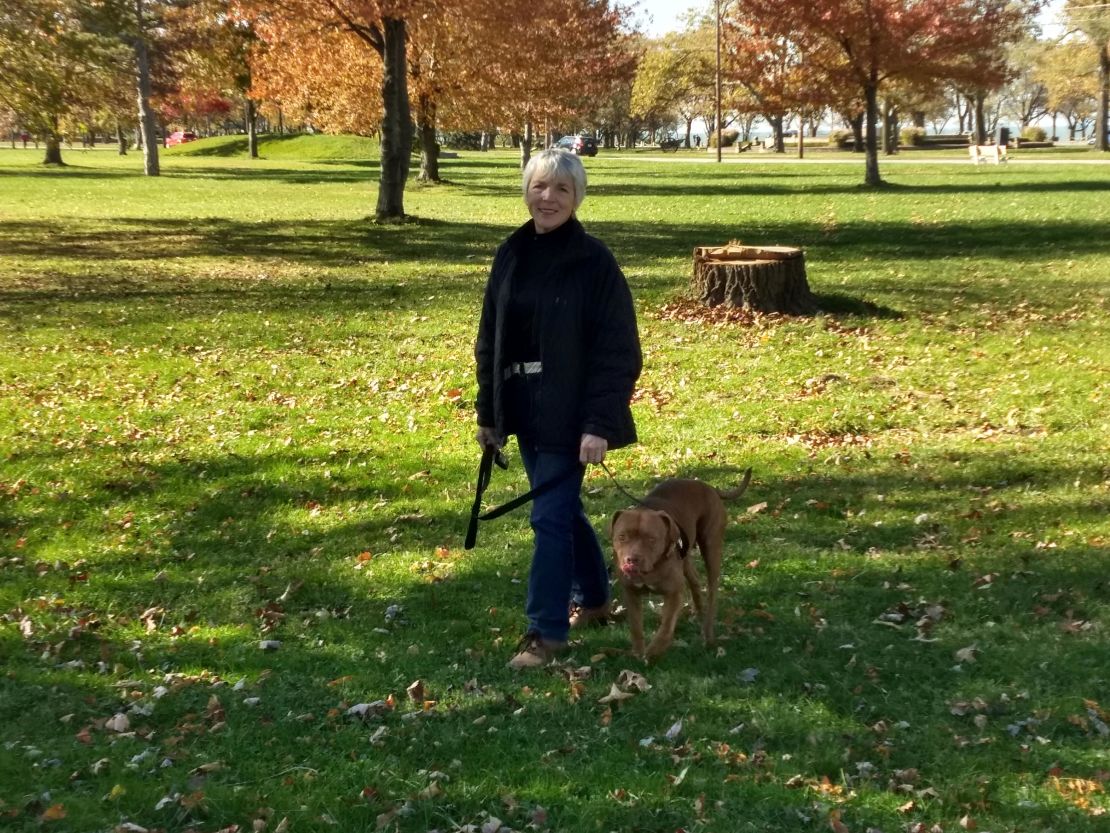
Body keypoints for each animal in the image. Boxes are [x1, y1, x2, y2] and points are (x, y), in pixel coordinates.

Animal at [612, 473, 750, 661]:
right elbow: (635, 627)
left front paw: (654, 651)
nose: (632, 559)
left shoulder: (674, 593)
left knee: (712, 592)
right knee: (694, 578)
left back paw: (708, 634)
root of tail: (709, 487)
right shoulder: (631, 593)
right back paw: (698, 611)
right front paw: (638, 653)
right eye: (622, 537)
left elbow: (666, 626)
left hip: (711, 546)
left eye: (651, 539)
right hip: (685, 559)